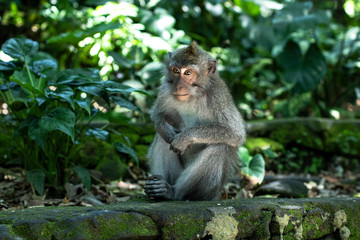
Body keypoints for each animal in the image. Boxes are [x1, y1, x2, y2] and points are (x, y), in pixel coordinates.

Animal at [145, 41, 246, 201]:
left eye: (188, 73)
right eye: (175, 70)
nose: (178, 86)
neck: (193, 95)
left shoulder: (217, 95)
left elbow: (235, 133)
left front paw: (185, 138)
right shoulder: (166, 88)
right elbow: (158, 115)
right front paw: (164, 128)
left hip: (209, 191)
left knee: (220, 147)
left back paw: (173, 193)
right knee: (162, 138)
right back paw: (159, 189)